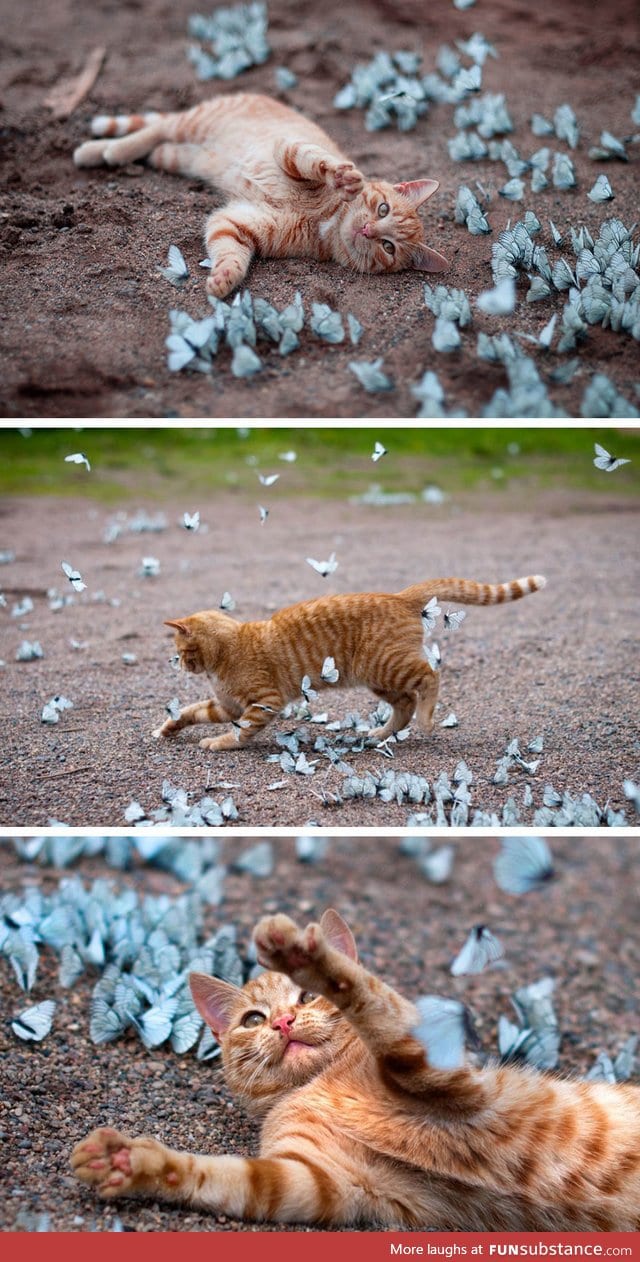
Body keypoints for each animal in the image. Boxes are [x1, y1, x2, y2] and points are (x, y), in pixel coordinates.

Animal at [72, 93, 449, 295]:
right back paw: (101, 150)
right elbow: (317, 162)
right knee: (156, 128)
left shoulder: (237, 223)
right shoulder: (289, 148)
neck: (326, 219)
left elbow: (230, 252)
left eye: (388, 247)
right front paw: (343, 177)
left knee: (159, 145)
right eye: (383, 209)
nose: (368, 230)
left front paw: (224, 278)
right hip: (195, 123)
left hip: (181, 156)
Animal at [72, 913, 640, 1226]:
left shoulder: (438, 1072)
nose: (283, 1021)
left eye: (306, 998)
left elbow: (363, 992)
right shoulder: (318, 1180)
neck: (321, 1082)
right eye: (253, 1020)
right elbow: (220, 1176)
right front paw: (131, 1164)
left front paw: (307, 956)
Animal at [151, 577, 545, 752]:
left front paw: (220, 743)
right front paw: (167, 729)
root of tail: (398, 596)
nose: (176, 663)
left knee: (430, 678)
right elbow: (189, 712)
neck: (227, 651)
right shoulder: (225, 705)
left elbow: (240, 731)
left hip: (388, 666)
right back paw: (381, 734)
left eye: (180, 650)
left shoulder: (264, 702)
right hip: (380, 679)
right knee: (405, 704)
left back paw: (427, 720)